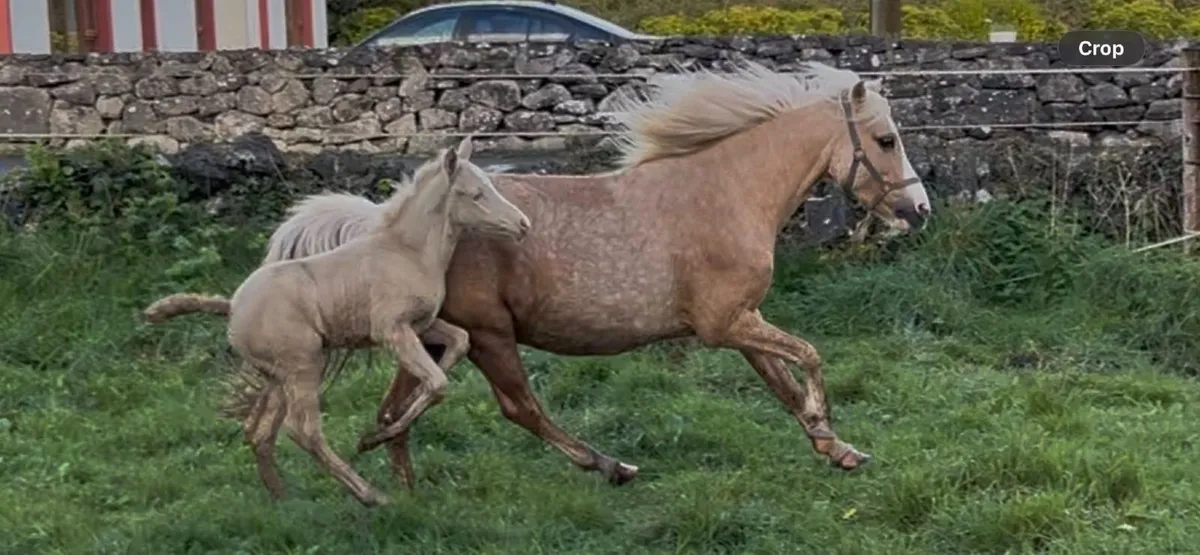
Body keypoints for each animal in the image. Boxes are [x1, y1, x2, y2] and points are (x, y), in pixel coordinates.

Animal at [141, 138, 530, 506]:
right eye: (476, 194)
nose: (523, 225)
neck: (407, 252)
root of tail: (232, 306)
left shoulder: (421, 325)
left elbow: (459, 343)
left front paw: (386, 426)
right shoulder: (391, 330)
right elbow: (437, 382)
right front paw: (374, 437)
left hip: (279, 375)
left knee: (260, 430)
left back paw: (283, 501)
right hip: (304, 365)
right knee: (303, 430)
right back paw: (371, 495)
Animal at [258, 60, 930, 488]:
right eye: (885, 139)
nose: (919, 210)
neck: (726, 192)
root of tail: (389, 223)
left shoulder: (742, 319)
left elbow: (782, 380)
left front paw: (838, 449)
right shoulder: (723, 325)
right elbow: (809, 357)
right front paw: (825, 425)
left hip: (427, 337)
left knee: (396, 407)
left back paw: (402, 490)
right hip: (489, 336)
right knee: (519, 408)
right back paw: (611, 466)